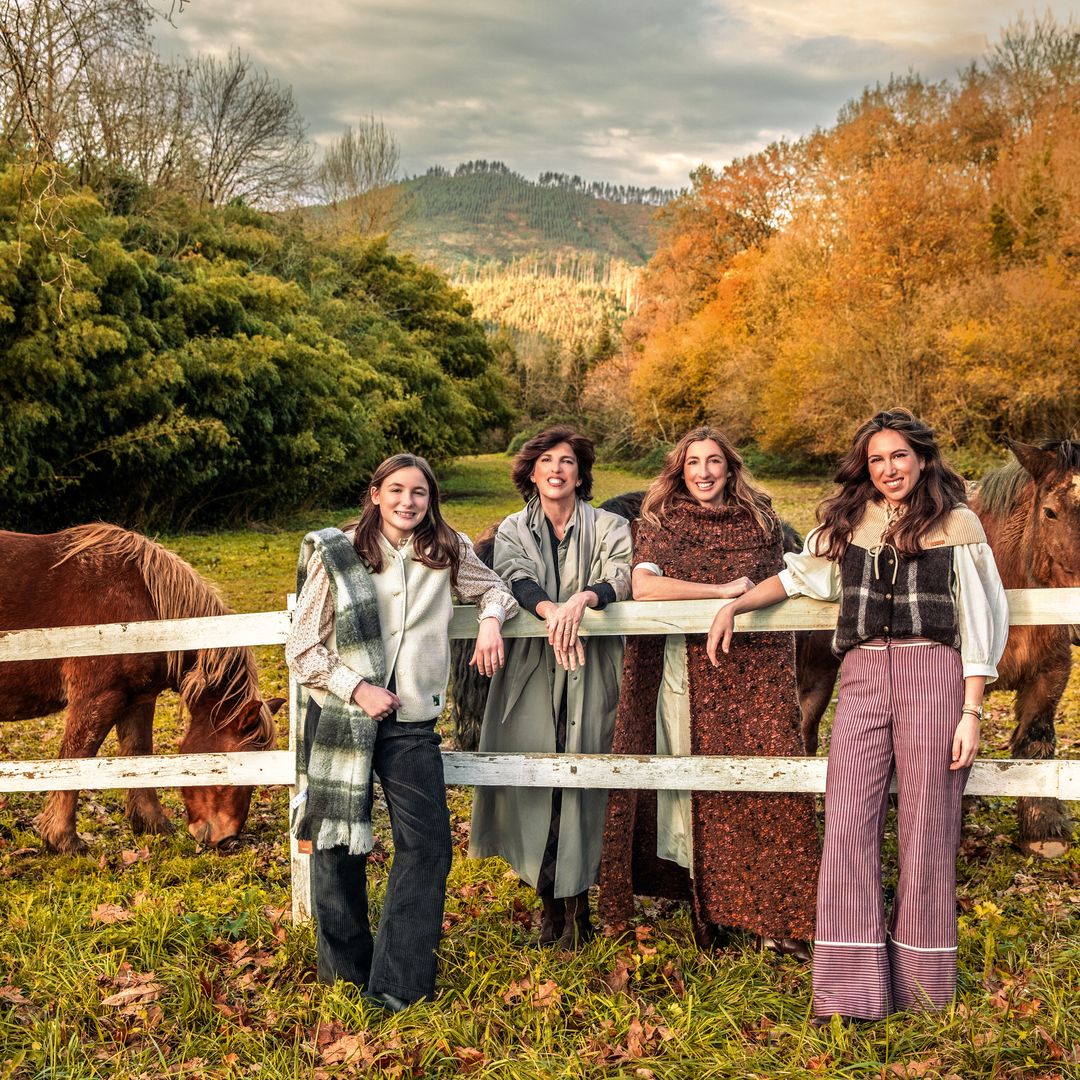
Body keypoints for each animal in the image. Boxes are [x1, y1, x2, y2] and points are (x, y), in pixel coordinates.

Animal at [0, 522, 282, 851]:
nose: (225, 839)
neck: (142, 607)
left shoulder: (138, 698)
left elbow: (139, 753)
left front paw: (153, 824)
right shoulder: (97, 698)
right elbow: (76, 758)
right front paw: (63, 837)